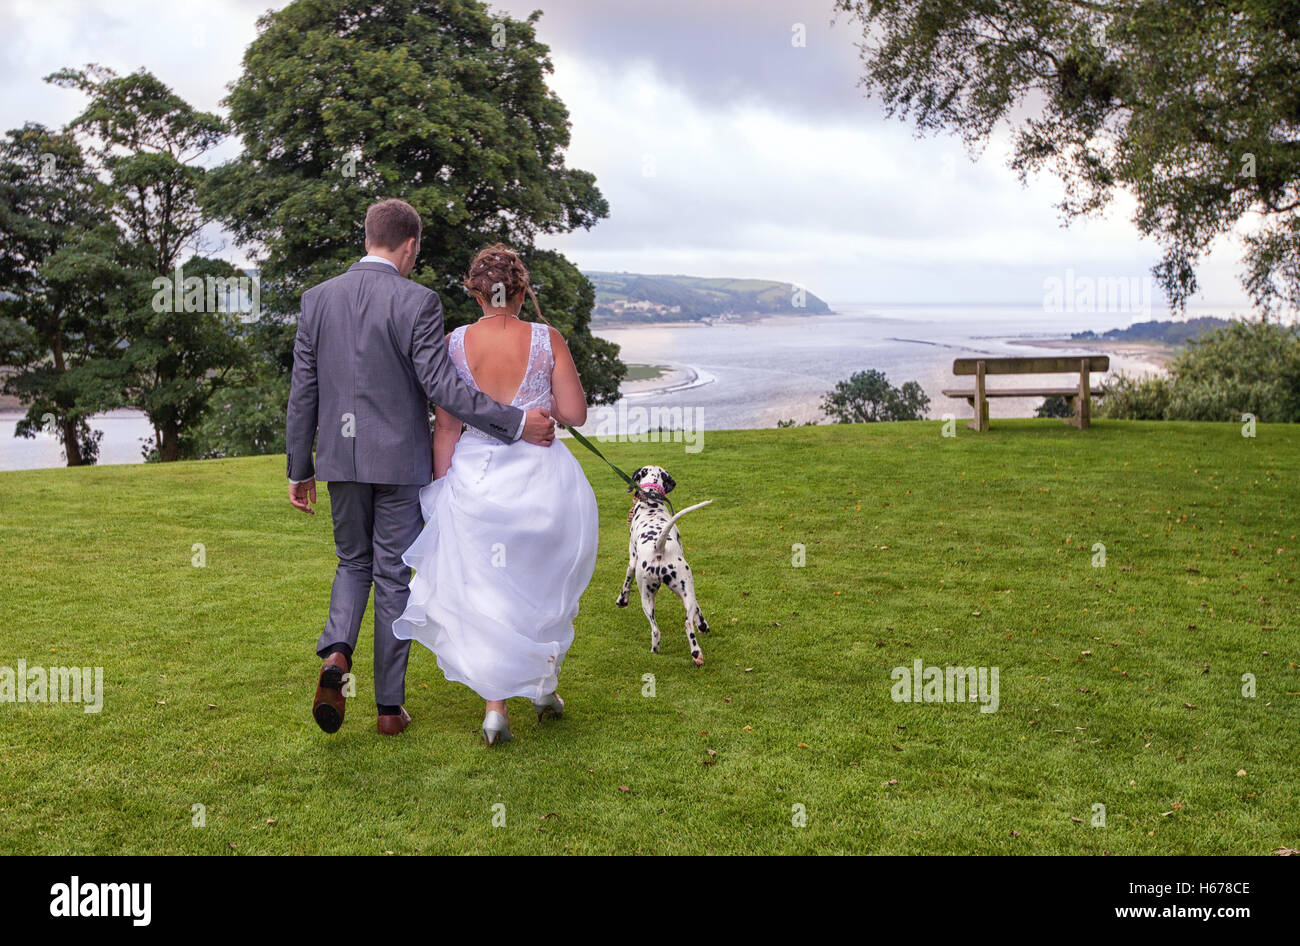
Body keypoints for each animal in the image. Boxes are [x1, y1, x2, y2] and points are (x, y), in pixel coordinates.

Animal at [616, 465, 717, 665]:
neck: (651, 502)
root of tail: (659, 547)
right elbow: (698, 610)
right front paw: (703, 626)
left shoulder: (632, 560)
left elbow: (626, 582)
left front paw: (622, 600)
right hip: (681, 591)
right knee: (686, 622)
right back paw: (696, 653)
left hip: (648, 597)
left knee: (657, 630)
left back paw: (656, 651)